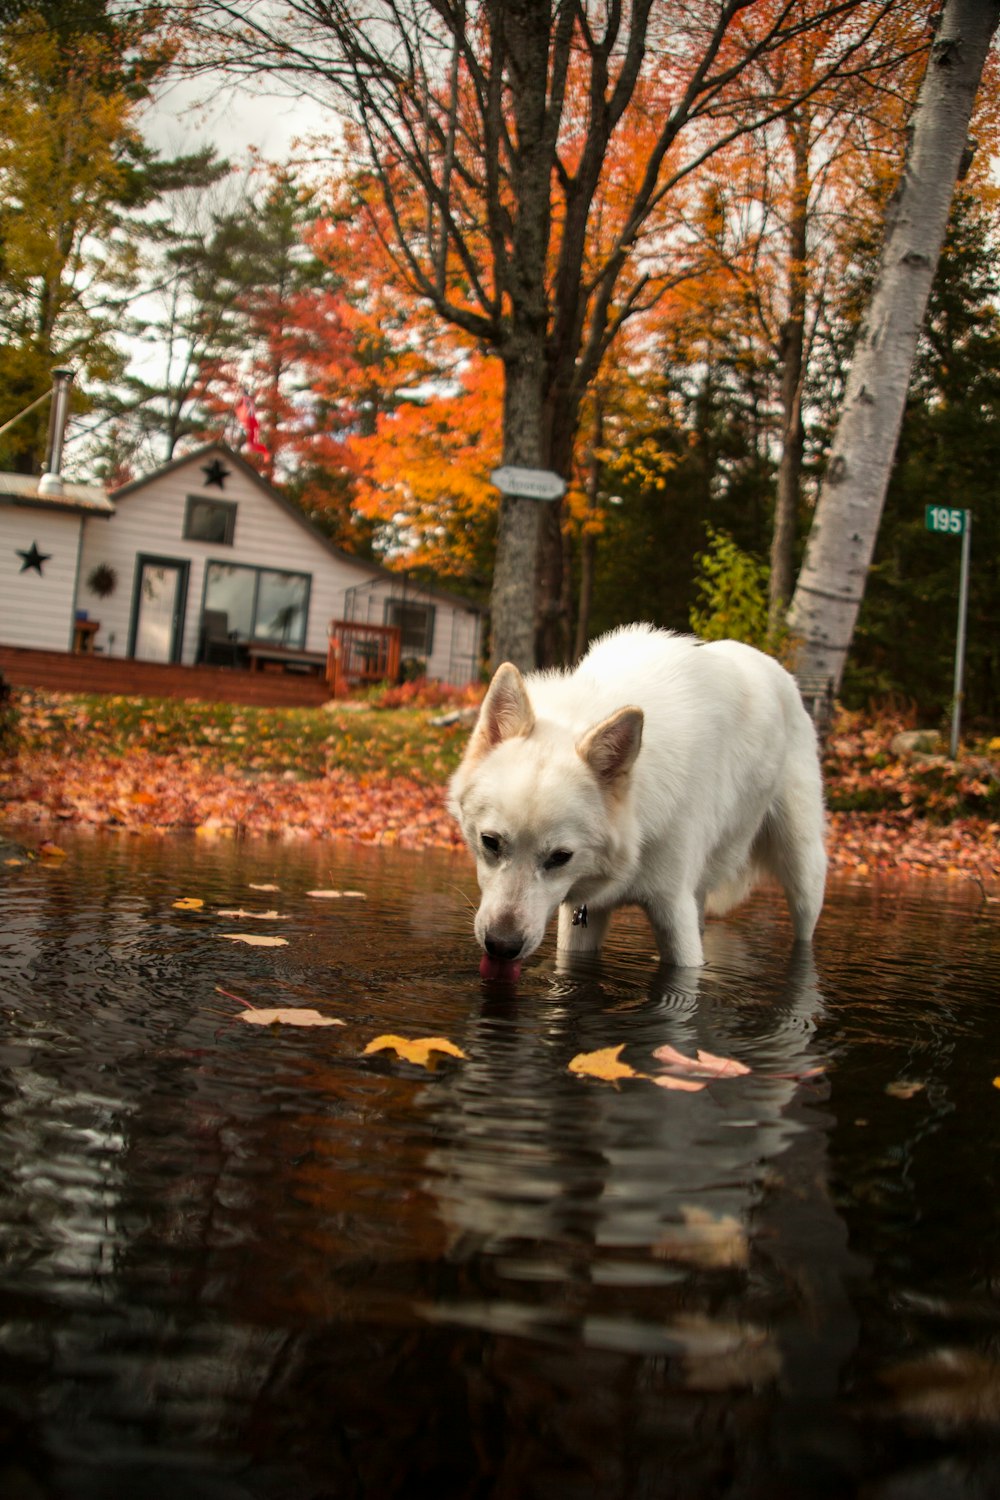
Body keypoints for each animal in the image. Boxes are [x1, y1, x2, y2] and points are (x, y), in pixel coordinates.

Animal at [452, 618, 827, 972]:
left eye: (560, 857)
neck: (636, 837)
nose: (501, 946)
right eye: (490, 842)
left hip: (803, 874)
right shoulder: (583, 914)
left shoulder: (674, 911)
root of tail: (775, 666)